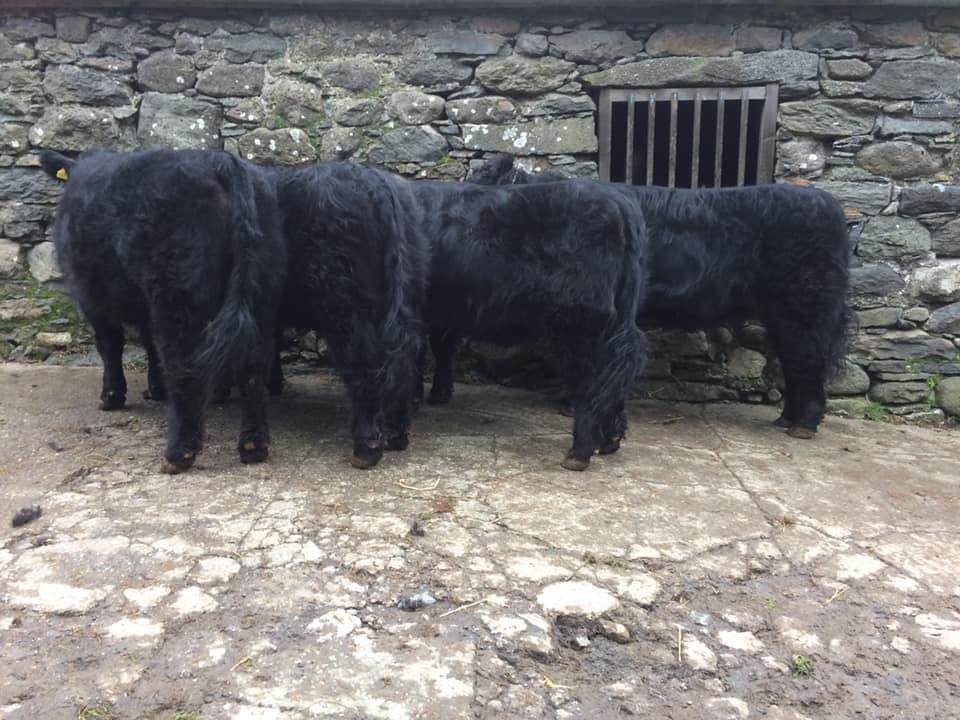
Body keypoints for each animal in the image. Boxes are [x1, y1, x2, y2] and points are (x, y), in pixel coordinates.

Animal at [40, 149, 285, 474]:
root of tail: (217, 160)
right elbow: (148, 344)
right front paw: (155, 389)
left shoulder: (92, 297)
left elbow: (110, 346)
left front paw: (111, 396)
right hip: (261, 292)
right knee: (253, 366)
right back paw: (253, 445)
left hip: (177, 294)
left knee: (184, 368)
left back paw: (179, 453)